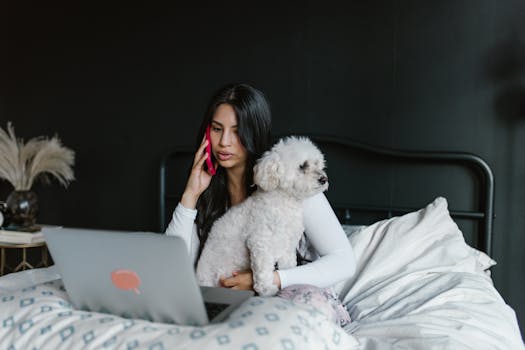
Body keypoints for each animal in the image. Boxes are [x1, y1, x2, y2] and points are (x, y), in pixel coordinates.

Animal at [195, 136, 328, 296]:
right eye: (302, 166)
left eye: (317, 164)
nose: (324, 179)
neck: (284, 202)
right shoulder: (260, 243)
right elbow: (264, 271)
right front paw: (266, 289)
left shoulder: (287, 248)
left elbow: (289, 266)